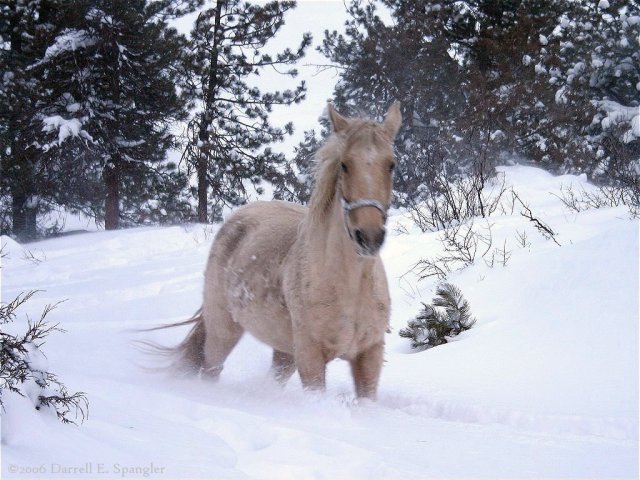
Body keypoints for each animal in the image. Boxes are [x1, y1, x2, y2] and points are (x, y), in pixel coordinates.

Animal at [164, 103, 401, 399]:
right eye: (345, 165)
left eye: (391, 164)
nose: (368, 236)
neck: (350, 289)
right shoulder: (310, 356)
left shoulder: (369, 354)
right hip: (224, 329)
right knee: (211, 370)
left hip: (284, 352)